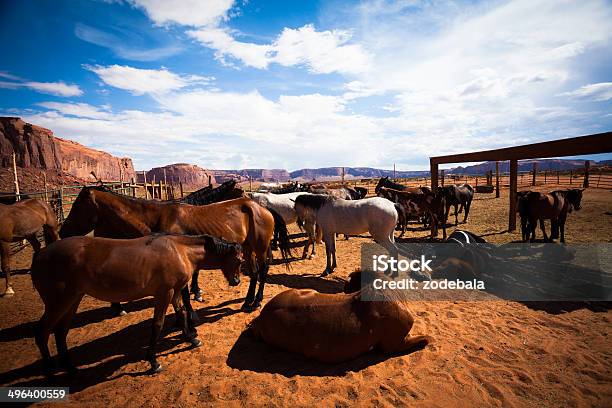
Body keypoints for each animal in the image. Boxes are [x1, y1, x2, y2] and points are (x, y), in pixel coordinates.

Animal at [30, 233, 241, 376]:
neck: (180, 251)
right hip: (59, 302)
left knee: (60, 332)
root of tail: (40, 255)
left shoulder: (174, 293)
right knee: (42, 332)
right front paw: (153, 362)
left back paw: (70, 367)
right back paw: (50, 370)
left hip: (73, 300)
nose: (237, 281)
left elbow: (181, 314)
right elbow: (157, 325)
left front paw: (192, 339)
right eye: (239, 260)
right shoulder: (164, 294)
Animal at [60, 186, 292, 310]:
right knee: (254, 273)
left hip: (260, 247)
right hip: (247, 247)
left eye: (77, 206)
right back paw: (248, 301)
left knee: (262, 271)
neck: (157, 217)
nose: (62, 231)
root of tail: (262, 207)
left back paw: (256, 301)